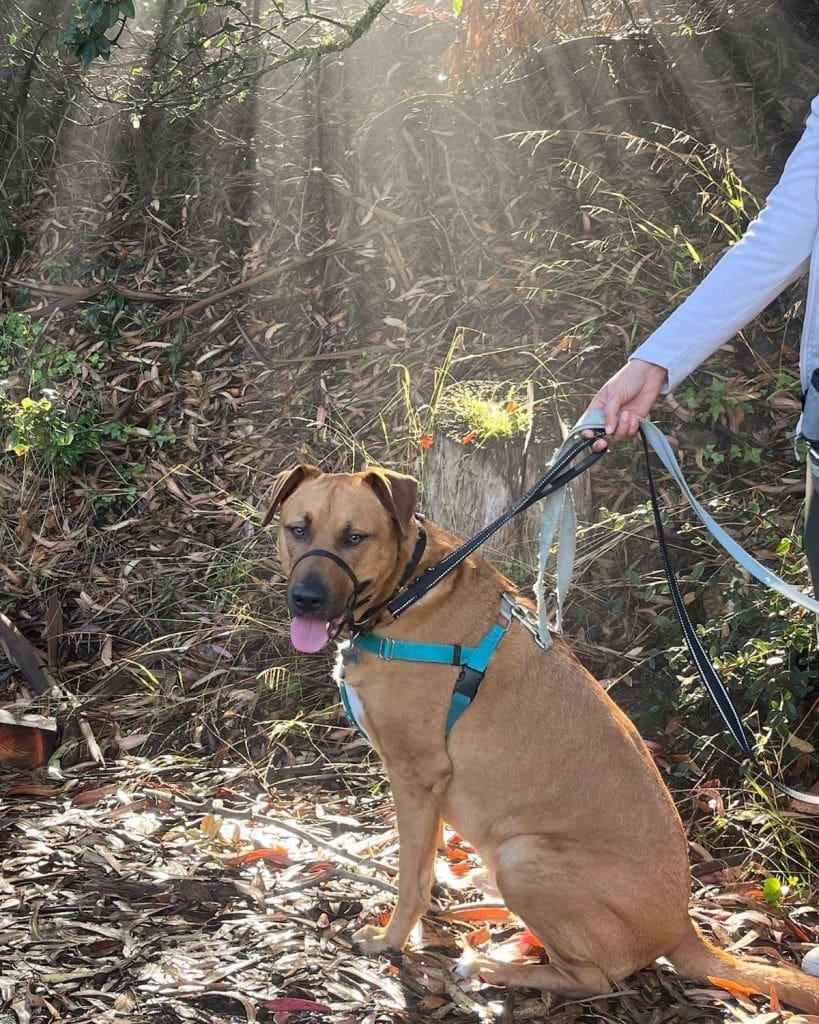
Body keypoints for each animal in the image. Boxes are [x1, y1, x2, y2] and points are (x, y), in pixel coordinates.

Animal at [264, 468, 819, 1011]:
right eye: (297, 529)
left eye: (355, 537)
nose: (306, 599)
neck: (410, 591)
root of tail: (682, 927)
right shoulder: (431, 786)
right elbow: (427, 858)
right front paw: (436, 889)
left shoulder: (415, 774)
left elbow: (410, 882)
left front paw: (389, 941)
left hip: (523, 859)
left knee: (593, 980)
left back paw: (492, 968)